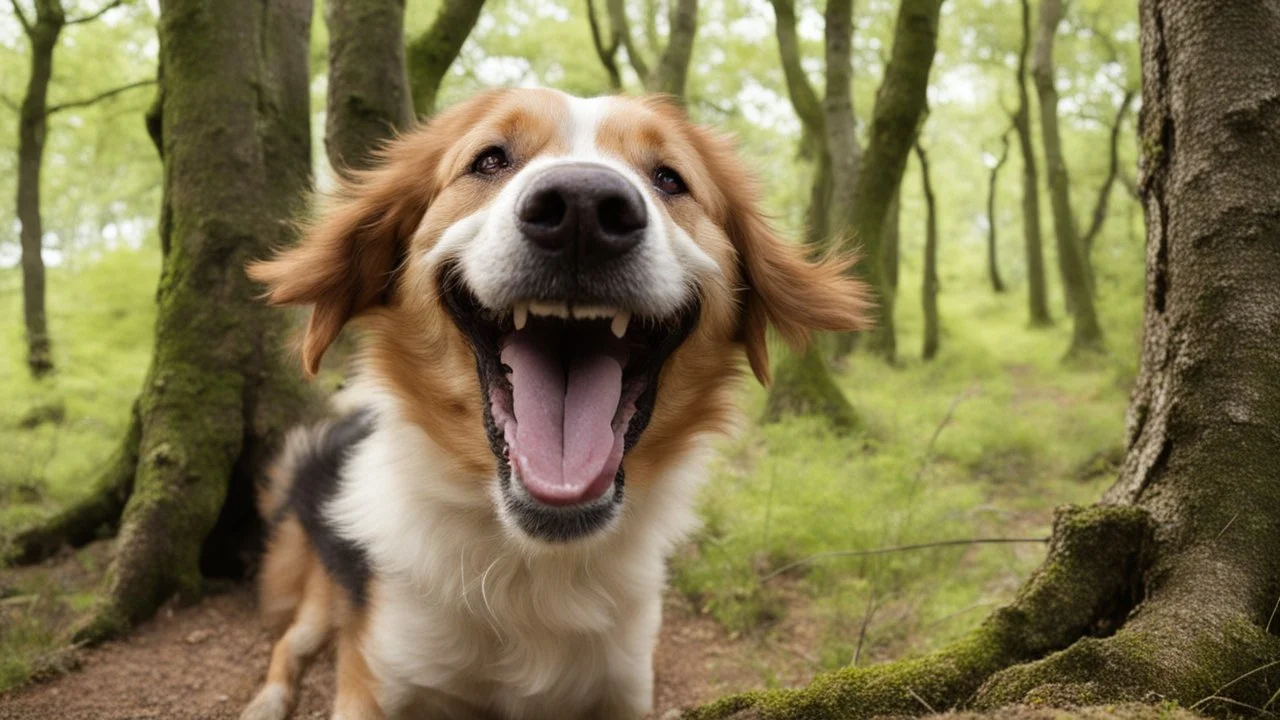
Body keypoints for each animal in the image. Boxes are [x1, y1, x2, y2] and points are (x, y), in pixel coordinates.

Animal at [240, 89, 870, 717]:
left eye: (669, 178)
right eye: (490, 160)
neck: (533, 564)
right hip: (321, 600)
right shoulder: (375, 682)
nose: (582, 209)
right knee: (289, 644)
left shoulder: (623, 687)